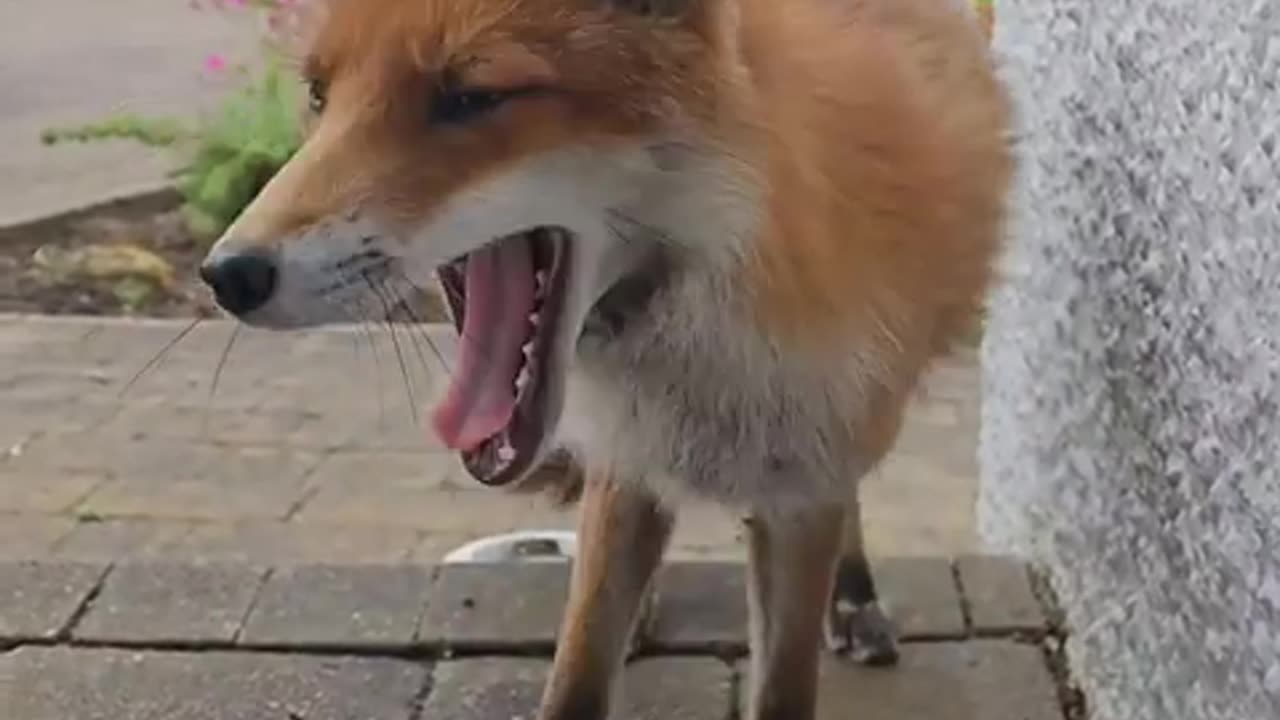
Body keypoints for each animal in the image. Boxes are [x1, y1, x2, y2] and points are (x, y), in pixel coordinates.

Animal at [197, 0, 1008, 712]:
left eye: (470, 97)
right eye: (318, 96)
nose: (227, 274)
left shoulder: (804, 481)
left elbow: (784, 684)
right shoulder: (627, 453)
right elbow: (580, 674)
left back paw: (855, 594)